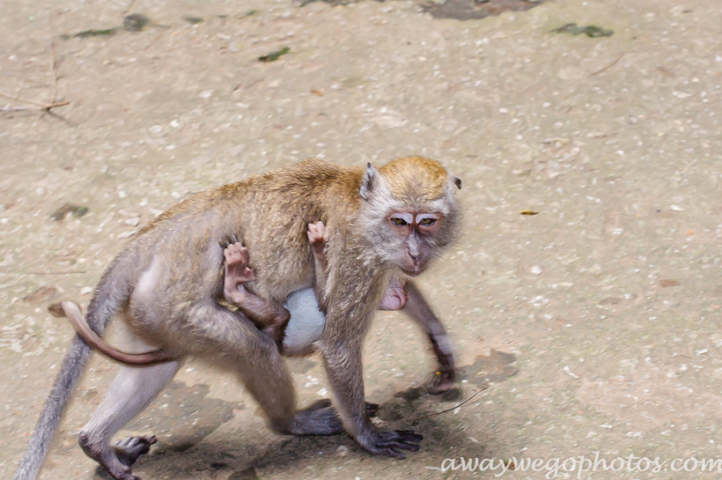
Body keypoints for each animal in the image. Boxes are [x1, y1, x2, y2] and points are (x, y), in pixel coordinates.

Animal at [15, 157, 462, 480]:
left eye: (427, 222)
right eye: (399, 221)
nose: (415, 252)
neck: (361, 201)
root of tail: (152, 236)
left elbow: (403, 292)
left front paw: (439, 344)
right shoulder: (359, 258)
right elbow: (338, 343)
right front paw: (367, 435)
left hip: (151, 311)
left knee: (159, 365)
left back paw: (96, 443)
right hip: (176, 302)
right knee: (253, 349)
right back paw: (289, 420)